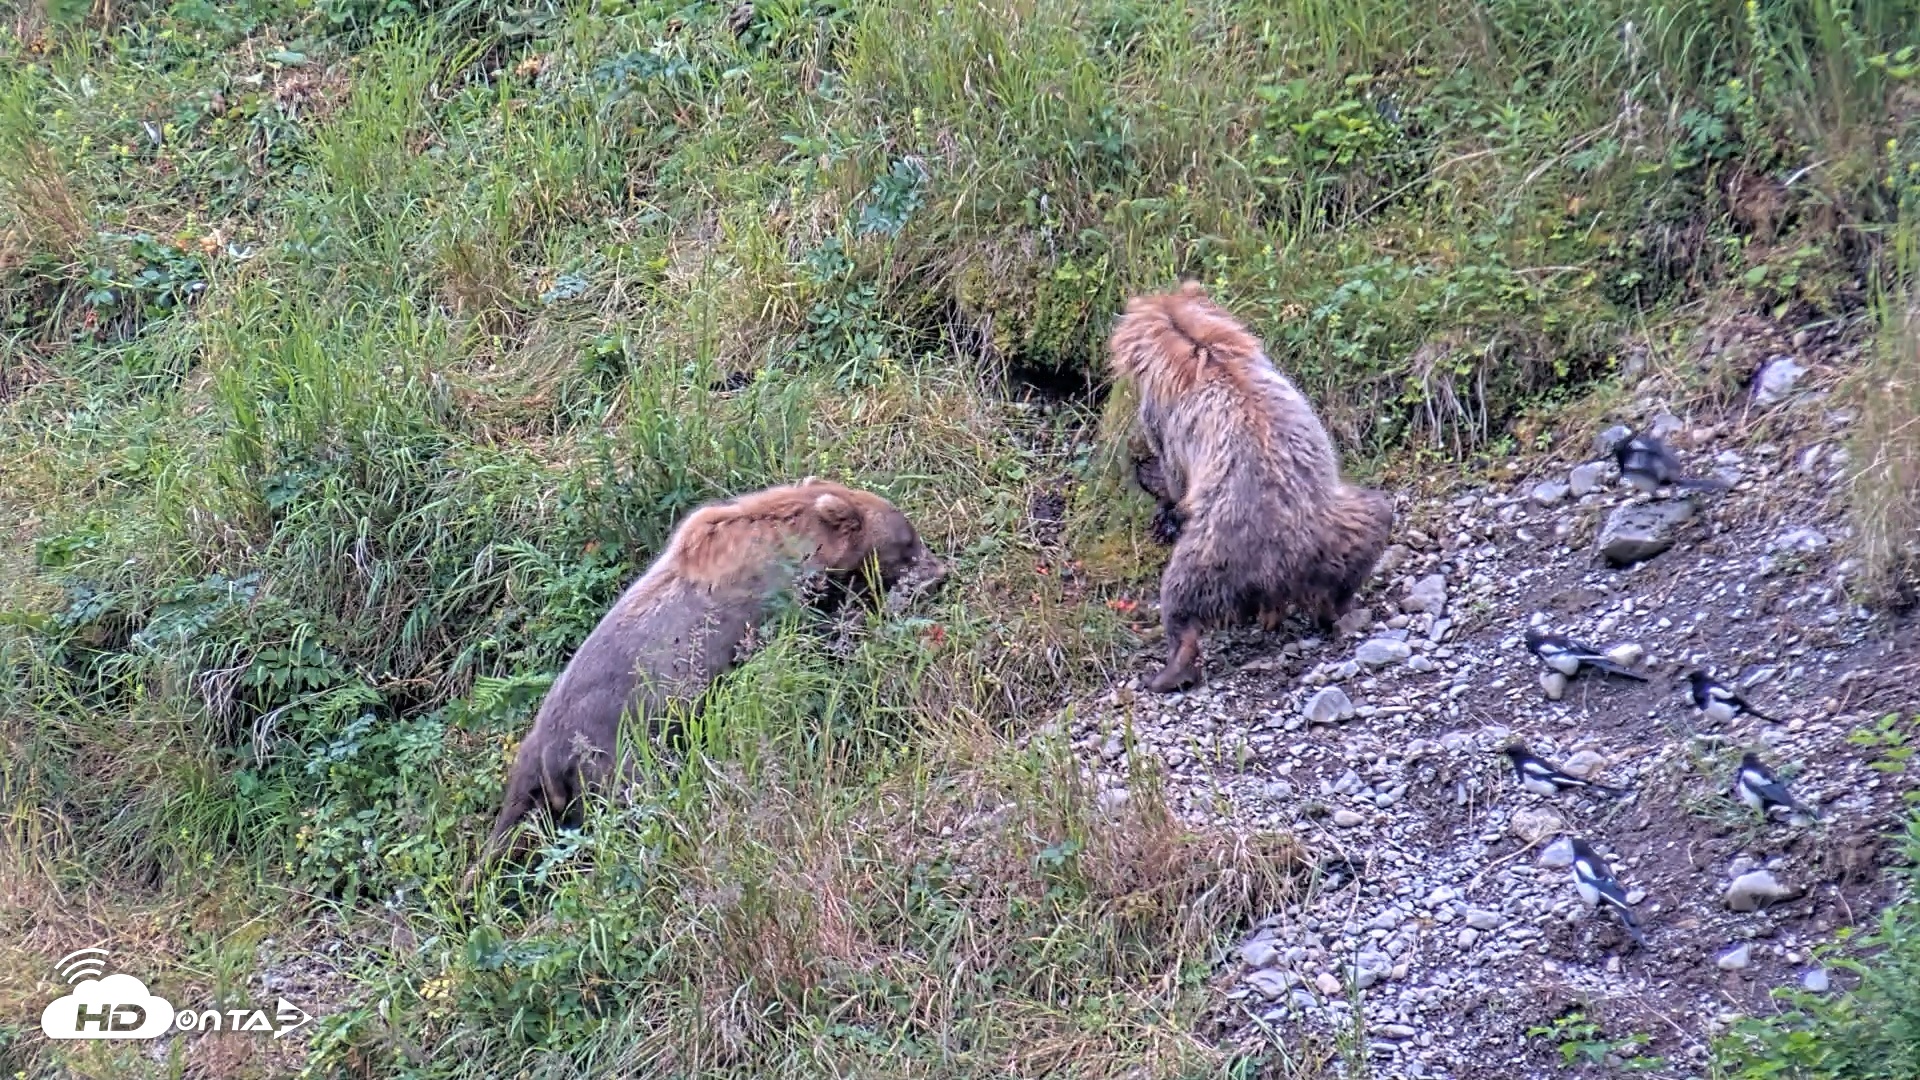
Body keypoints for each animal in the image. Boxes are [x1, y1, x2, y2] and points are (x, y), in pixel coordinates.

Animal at [463, 478, 945, 891]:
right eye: (908, 540)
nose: (939, 572)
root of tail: (548, 749)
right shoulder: (767, 603)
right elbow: (811, 635)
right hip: (615, 750)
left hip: (532, 776)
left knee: (511, 829)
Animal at [1108, 281, 1394, 693]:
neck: (1202, 346)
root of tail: (1288, 564)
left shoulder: (1164, 411)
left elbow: (1172, 464)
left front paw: (1157, 484)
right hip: (1346, 524)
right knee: (1376, 520)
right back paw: (1338, 608)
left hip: (1209, 556)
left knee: (1179, 599)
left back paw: (1169, 672)